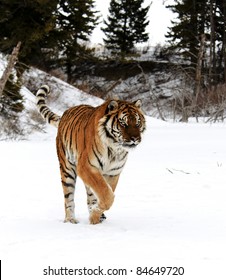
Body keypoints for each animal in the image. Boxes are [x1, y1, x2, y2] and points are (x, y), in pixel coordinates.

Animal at [34, 84, 145, 224]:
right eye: (123, 123)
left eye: (137, 123)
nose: (135, 139)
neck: (115, 148)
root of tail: (64, 114)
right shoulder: (86, 166)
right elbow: (107, 194)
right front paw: (96, 212)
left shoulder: (113, 172)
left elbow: (105, 193)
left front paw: (95, 215)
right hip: (67, 169)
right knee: (68, 198)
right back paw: (70, 220)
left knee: (90, 196)